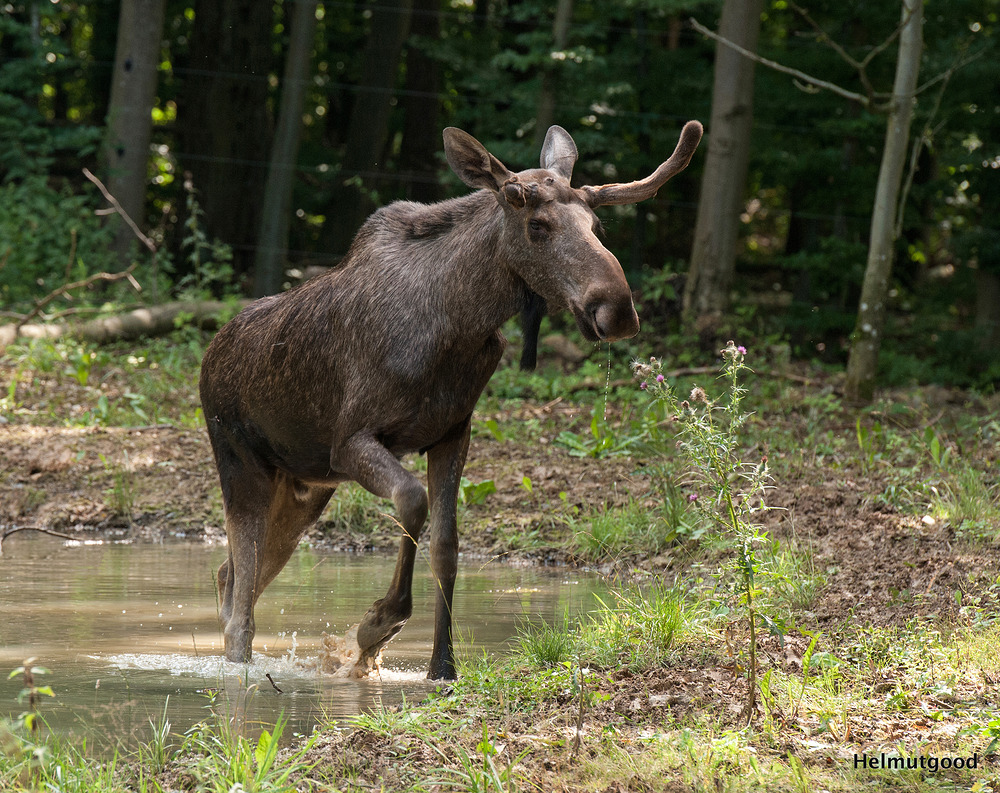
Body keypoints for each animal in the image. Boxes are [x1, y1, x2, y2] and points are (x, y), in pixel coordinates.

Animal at [199, 120, 704, 676]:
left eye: (597, 225)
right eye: (537, 226)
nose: (617, 310)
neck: (461, 322)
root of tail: (209, 355)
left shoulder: (452, 432)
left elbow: (446, 544)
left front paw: (441, 665)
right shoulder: (351, 440)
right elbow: (411, 500)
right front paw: (378, 623)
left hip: (305, 486)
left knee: (229, 575)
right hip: (242, 465)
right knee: (240, 606)